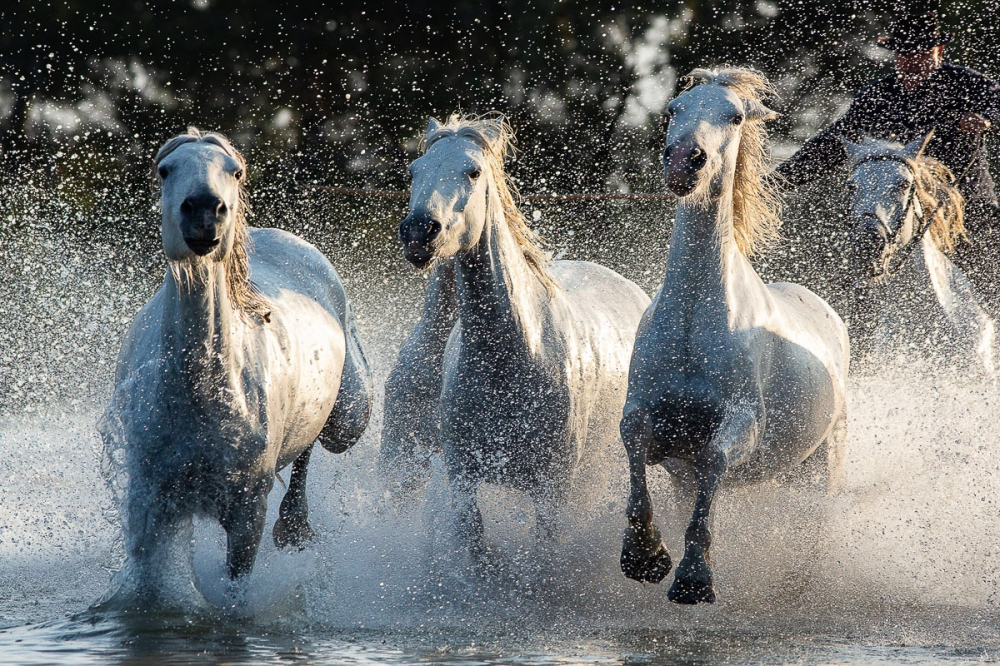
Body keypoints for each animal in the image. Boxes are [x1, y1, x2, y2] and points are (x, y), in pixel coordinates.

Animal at [98, 127, 372, 604]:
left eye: (235, 170)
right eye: (164, 169)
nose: (205, 212)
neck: (202, 392)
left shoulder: (247, 513)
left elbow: (235, 592)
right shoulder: (149, 503)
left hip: (349, 420)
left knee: (316, 444)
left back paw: (295, 527)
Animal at [394, 115, 652, 560]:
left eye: (473, 171)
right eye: (414, 171)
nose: (419, 232)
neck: (515, 357)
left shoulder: (553, 491)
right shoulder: (462, 479)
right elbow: (474, 543)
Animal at [620, 70, 848, 604]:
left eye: (736, 116)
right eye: (675, 108)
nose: (686, 158)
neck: (692, 318)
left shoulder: (744, 421)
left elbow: (715, 458)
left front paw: (693, 578)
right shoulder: (652, 418)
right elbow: (634, 440)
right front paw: (645, 555)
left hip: (821, 467)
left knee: (811, 528)